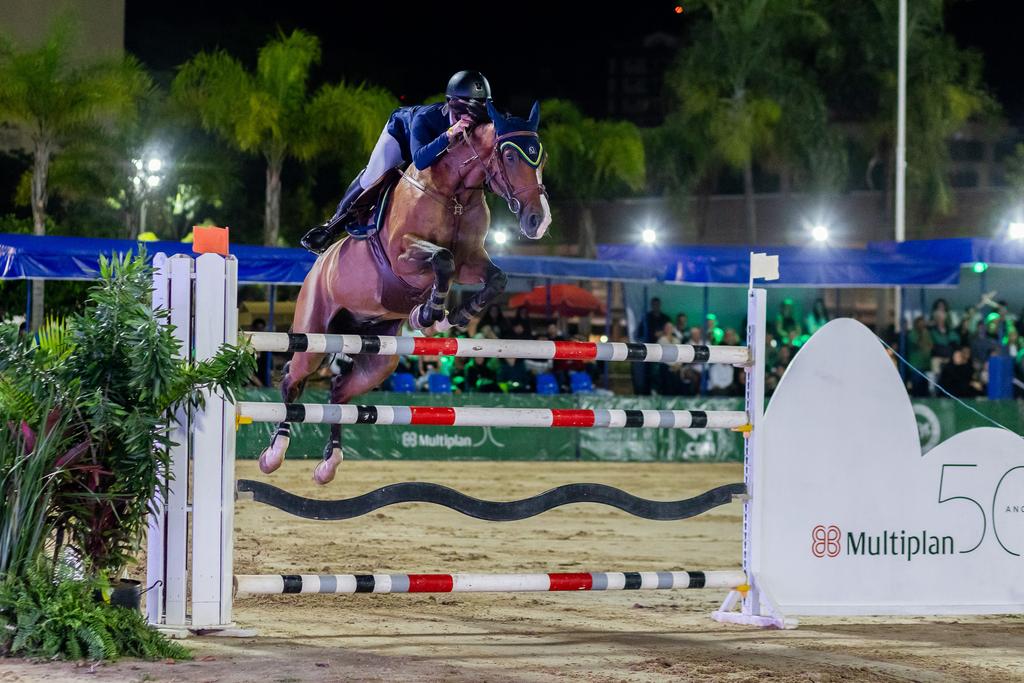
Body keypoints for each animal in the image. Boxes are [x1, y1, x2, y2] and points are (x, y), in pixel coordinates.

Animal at [260, 102, 548, 485]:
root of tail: (320, 265)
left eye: (541, 157)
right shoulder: (404, 257)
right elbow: (442, 259)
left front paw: (449, 316)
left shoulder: (471, 260)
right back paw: (274, 453)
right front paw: (430, 313)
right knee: (292, 382)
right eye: (510, 156)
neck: (455, 195)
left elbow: (495, 278)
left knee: (339, 392)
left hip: (380, 359)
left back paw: (329, 463)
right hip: (314, 334)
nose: (538, 221)